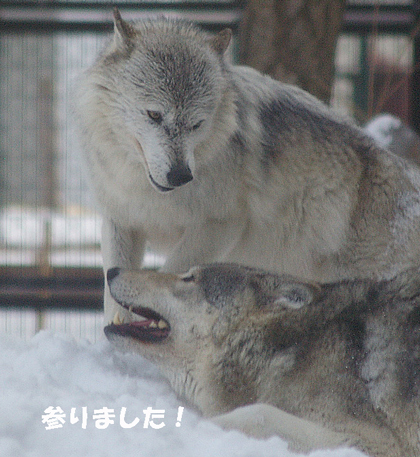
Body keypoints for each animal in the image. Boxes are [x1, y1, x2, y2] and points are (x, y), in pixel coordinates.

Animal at [74, 8, 420, 322]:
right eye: (154, 115)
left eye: (197, 124)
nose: (181, 175)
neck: (143, 188)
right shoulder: (120, 221)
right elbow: (114, 296)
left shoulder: (221, 226)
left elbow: (170, 274)